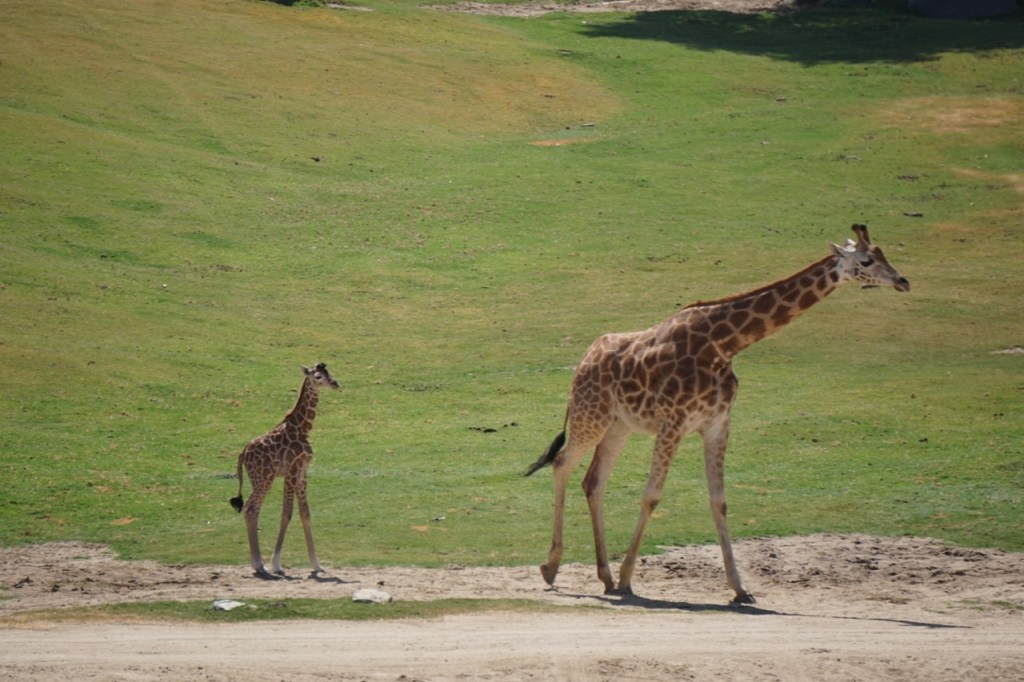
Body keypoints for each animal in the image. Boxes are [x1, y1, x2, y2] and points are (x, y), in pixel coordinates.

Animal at [229, 363, 339, 579]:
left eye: (329, 372)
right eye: (318, 376)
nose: (335, 383)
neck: (303, 428)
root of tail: (242, 454)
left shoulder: (303, 472)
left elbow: (305, 513)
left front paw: (317, 565)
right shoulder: (291, 471)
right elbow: (286, 514)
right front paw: (276, 565)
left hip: (262, 479)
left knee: (251, 510)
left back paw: (258, 564)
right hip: (264, 479)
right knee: (250, 509)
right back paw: (259, 564)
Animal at [524, 225, 910, 603]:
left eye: (884, 254)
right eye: (866, 260)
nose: (903, 280)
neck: (723, 345)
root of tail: (583, 361)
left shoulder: (717, 424)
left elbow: (719, 500)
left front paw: (740, 588)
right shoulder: (673, 423)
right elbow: (651, 495)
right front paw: (627, 579)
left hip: (619, 426)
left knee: (594, 482)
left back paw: (602, 576)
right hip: (591, 415)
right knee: (562, 464)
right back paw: (552, 567)